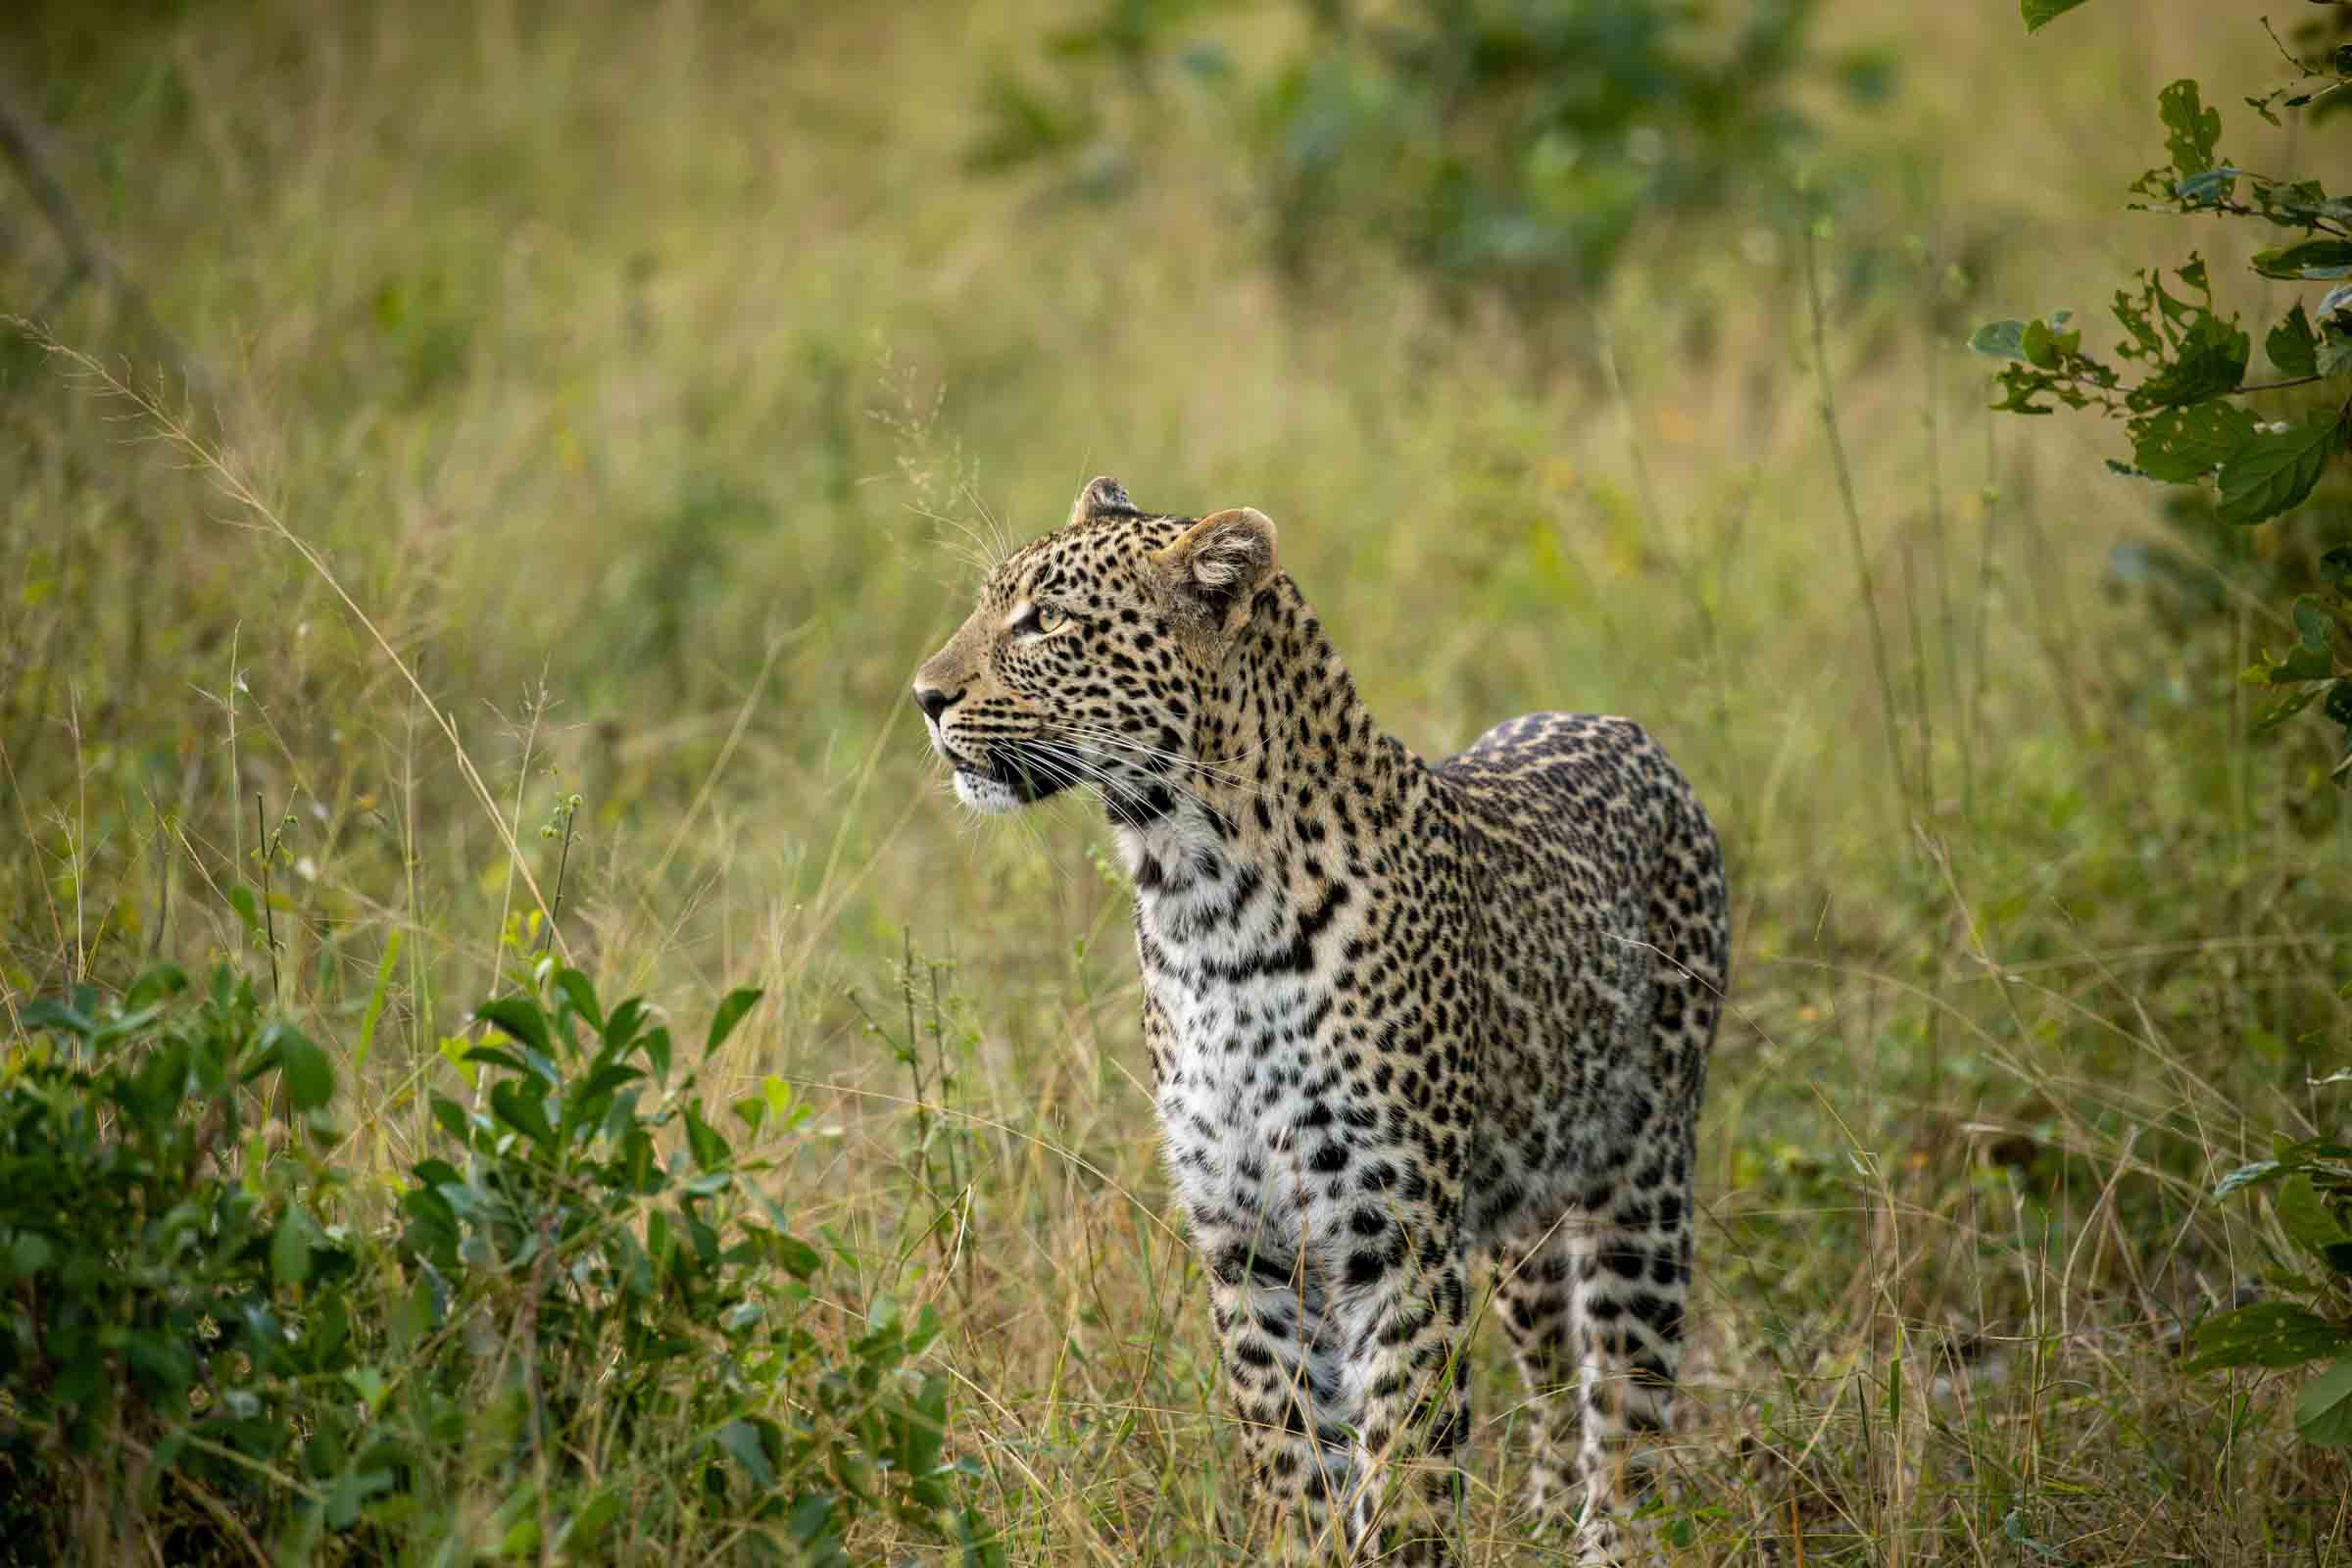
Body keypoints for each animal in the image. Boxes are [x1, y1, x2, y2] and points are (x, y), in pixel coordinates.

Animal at [911, 477, 1728, 1563]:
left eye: (1046, 621)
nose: (924, 695)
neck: (1199, 905)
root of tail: (1628, 729)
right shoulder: (1246, 1238)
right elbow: (1294, 1452)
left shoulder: (1394, 1239)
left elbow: (1408, 1463)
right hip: (1523, 1209)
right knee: (1555, 1376)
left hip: (1642, 1182)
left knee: (1629, 1411)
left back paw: (1612, 1535)